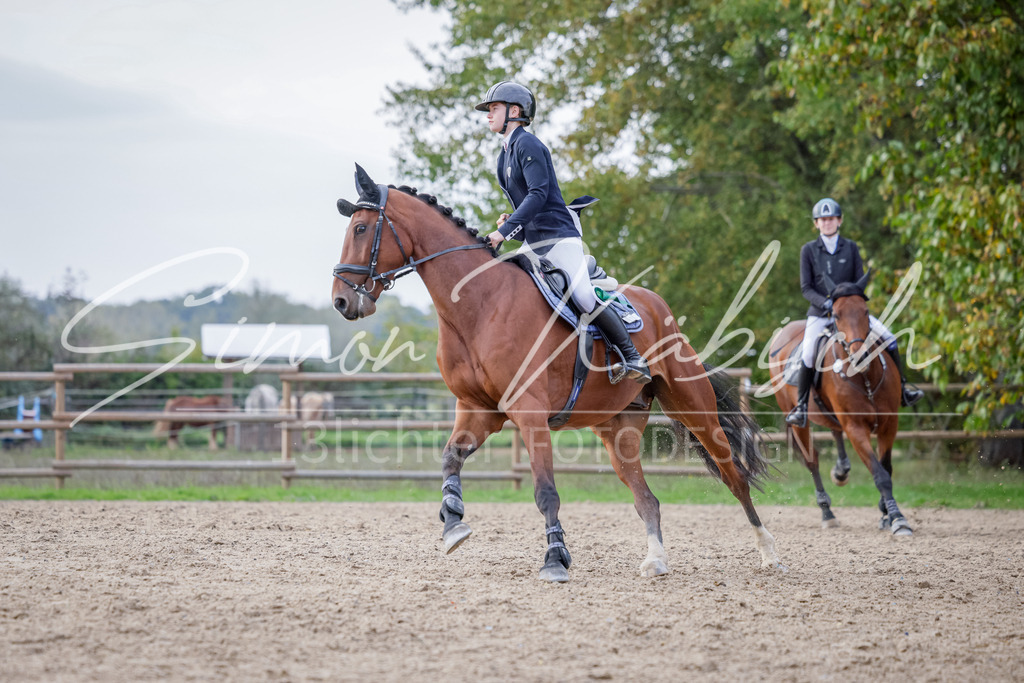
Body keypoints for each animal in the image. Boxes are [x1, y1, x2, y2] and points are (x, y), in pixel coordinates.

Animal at [330, 164, 783, 582]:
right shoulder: (479, 410)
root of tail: (661, 309)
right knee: (647, 499)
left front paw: (555, 560)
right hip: (618, 430)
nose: (341, 302)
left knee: (735, 477)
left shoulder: (529, 413)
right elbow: (449, 459)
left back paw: (769, 554)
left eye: (361, 228)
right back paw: (656, 561)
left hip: (693, 408)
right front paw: (454, 522)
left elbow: (546, 491)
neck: (479, 304)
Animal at [768, 274, 912, 536]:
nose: (860, 356)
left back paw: (841, 471)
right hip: (796, 418)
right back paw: (827, 512)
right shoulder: (855, 427)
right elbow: (880, 474)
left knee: (835, 431)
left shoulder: (889, 424)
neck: (865, 377)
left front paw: (886, 513)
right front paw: (897, 518)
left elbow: (886, 468)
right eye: (835, 315)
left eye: (866, 311)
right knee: (812, 459)